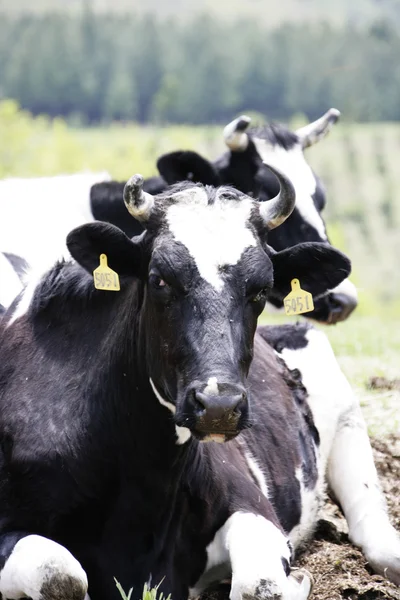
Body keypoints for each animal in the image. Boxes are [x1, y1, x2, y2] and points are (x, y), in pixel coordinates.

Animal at [0, 171, 400, 600]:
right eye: (158, 279)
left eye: (262, 289)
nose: (219, 406)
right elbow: (61, 576)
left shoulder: (249, 502)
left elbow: (259, 585)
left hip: (347, 416)